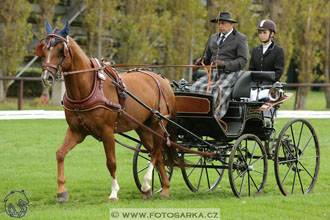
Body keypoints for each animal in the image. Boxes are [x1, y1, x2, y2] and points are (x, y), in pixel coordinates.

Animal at [35, 21, 178, 201]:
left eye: (61, 50)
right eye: (44, 50)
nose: (46, 77)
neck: (89, 88)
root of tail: (163, 80)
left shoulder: (107, 131)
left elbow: (111, 162)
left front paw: (114, 192)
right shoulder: (76, 130)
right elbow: (60, 153)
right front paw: (61, 191)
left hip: (158, 123)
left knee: (155, 152)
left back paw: (147, 185)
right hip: (143, 128)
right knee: (157, 154)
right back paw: (162, 188)